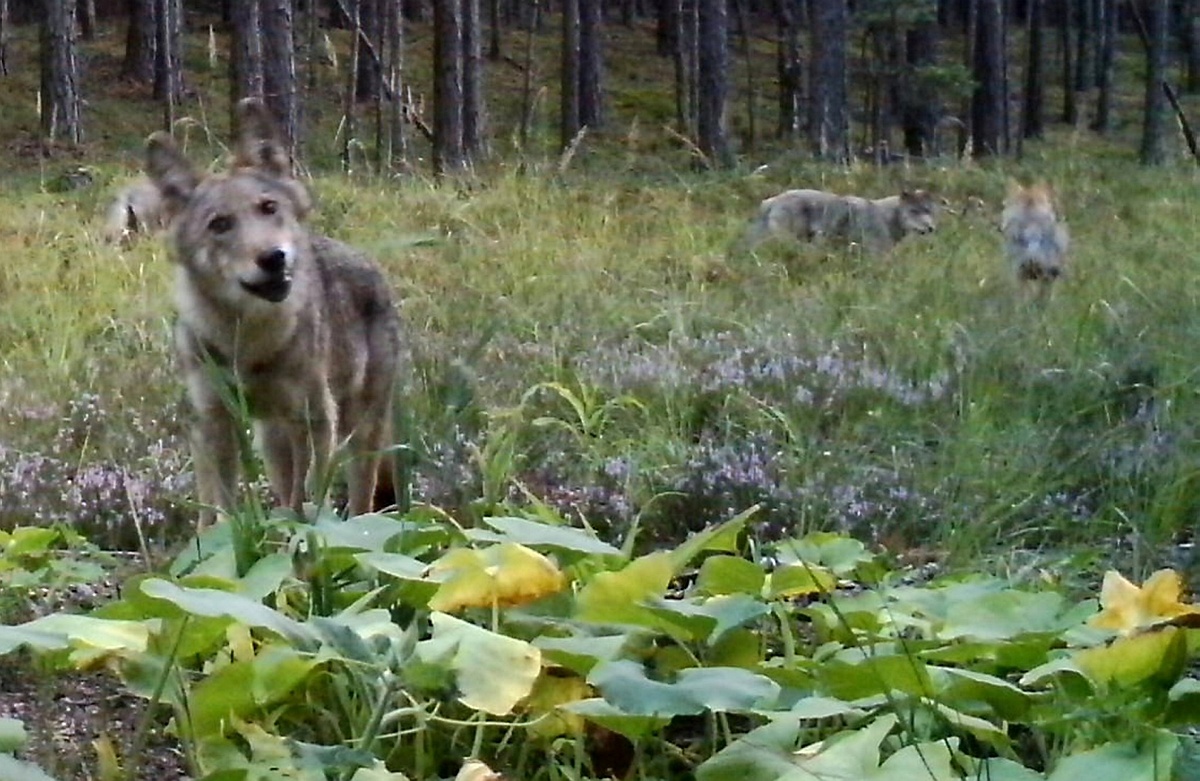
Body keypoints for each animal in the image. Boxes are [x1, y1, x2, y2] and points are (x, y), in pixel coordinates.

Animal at [145, 95, 403, 525]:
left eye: (268, 207)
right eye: (220, 224)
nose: (272, 257)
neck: (248, 340)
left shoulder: (316, 420)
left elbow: (310, 503)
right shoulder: (214, 422)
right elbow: (221, 512)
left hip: (358, 433)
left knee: (360, 502)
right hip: (272, 440)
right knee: (281, 493)